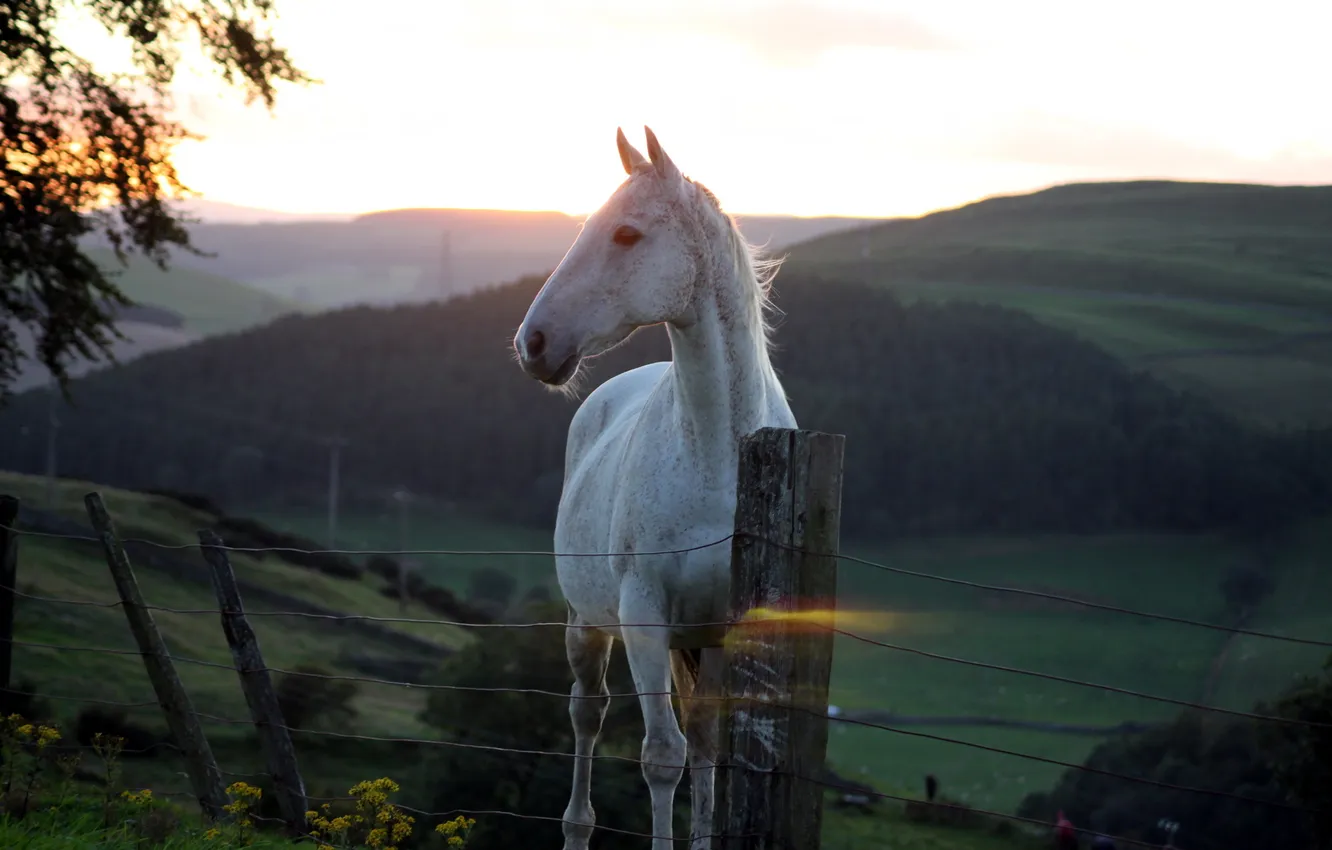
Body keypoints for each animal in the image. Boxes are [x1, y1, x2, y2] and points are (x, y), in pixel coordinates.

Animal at [514, 127, 793, 850]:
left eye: (627, 234)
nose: (533, 343)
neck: (721, 456)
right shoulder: (642, 614)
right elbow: (661, 757)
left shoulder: (726, 629)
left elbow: (707, 751)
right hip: (588, 625)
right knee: (587, 714)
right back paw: (576, 828)